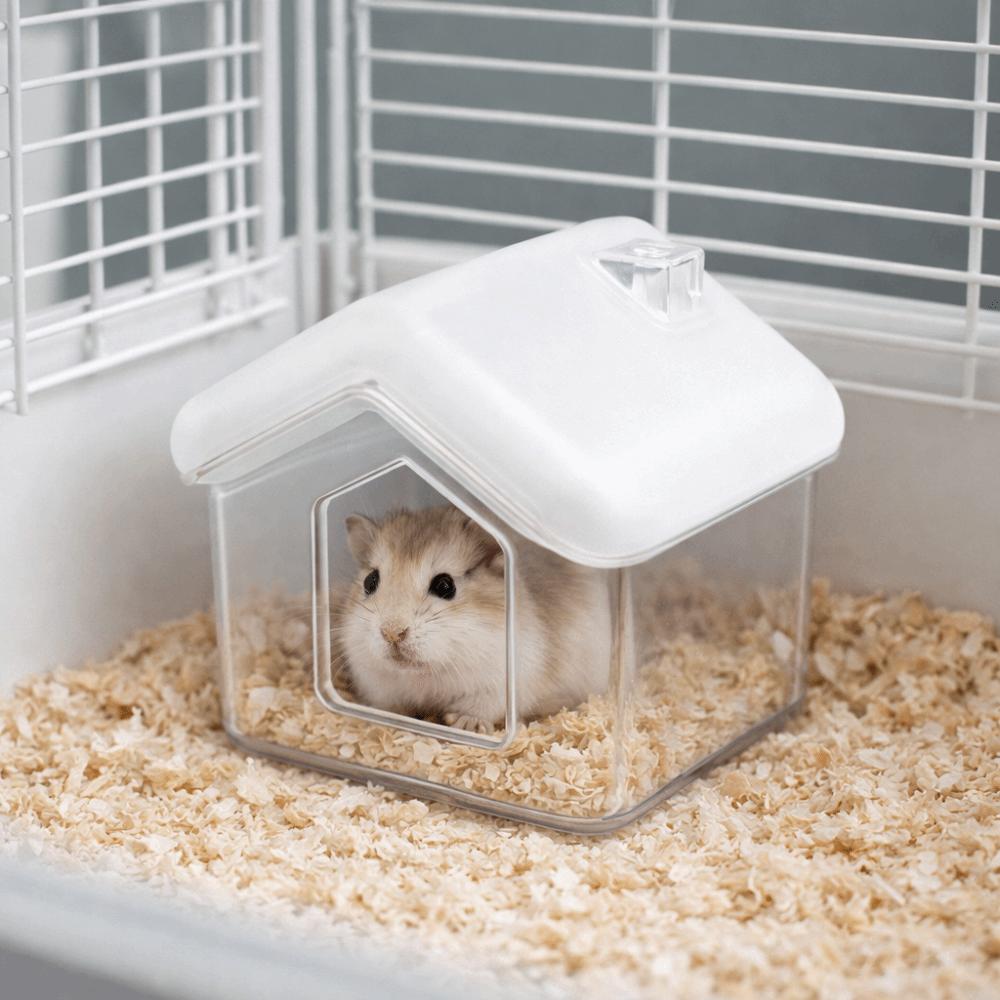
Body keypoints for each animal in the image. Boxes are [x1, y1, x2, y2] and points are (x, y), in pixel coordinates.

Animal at [336, 505, 611, 733]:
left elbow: (479, 708)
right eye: (370, 581)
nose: (392, 633)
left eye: (445, 585)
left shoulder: (498, 684)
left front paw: (462, 723)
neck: (426, 672)